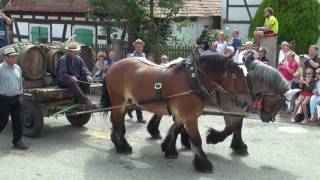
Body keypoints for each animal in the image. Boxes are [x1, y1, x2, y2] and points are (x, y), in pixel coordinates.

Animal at [104, 53, 251, 173]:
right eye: (235, 76)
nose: (246, 102)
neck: (193, 80)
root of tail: (113, 65)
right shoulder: (190, 117)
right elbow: (196, 140)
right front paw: (203, 164)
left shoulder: (182, 115)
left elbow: (175, 130)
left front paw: (169, 149)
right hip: (119, 102)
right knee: (117, 124)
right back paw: (122, 147)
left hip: (127, 103)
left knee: (118, 123)